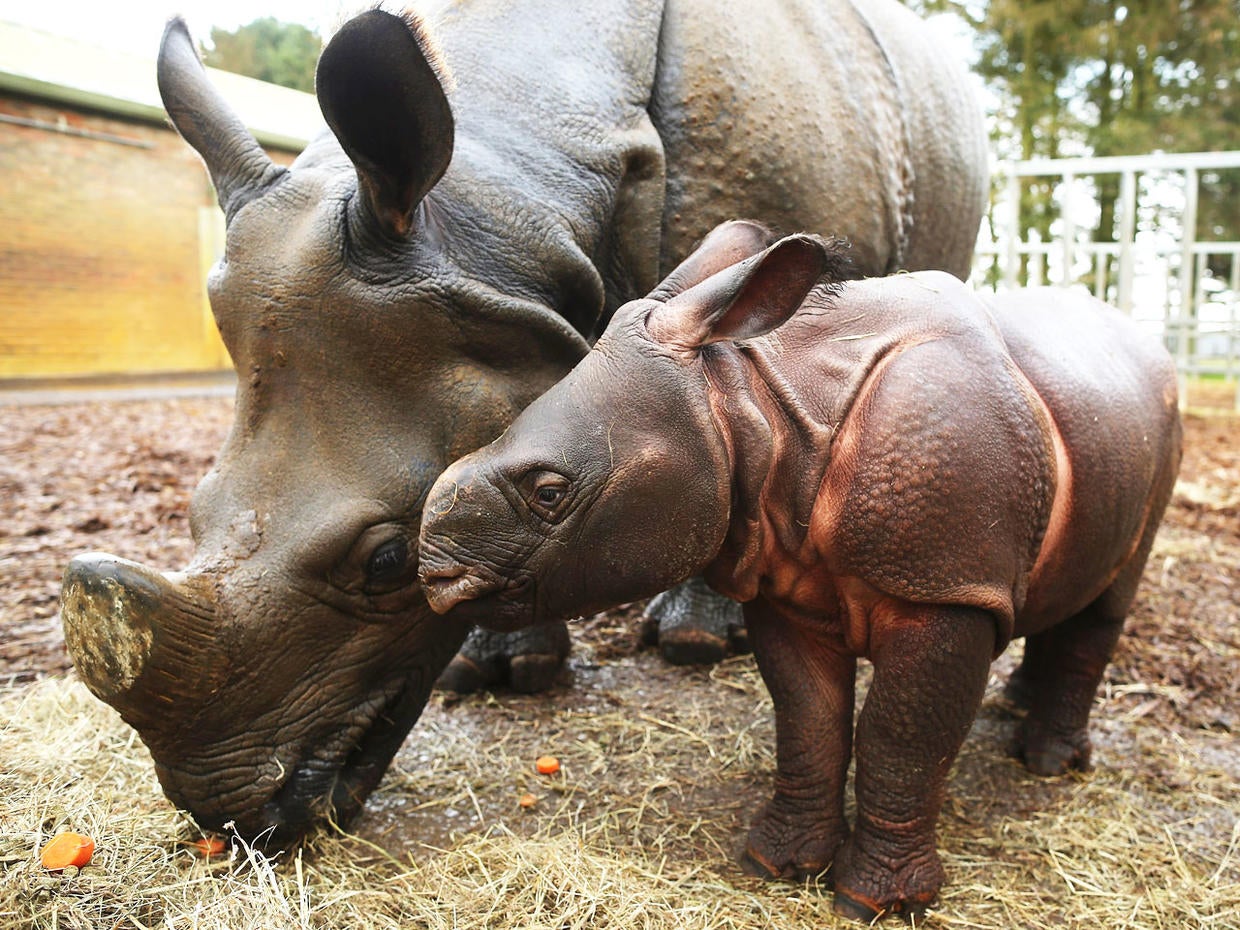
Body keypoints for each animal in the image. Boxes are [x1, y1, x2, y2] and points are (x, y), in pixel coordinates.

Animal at [418, 223, 1183, 921]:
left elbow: (902, 738)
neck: (752, 404)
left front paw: (878, 902)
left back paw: (1047, 763)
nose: (433, 573)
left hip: (1161, 424)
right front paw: (777, 865)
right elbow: (807, 716)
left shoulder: (946, 590)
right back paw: (1019, 703)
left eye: (549, 492)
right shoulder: (782, 576)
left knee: (1109, 600)